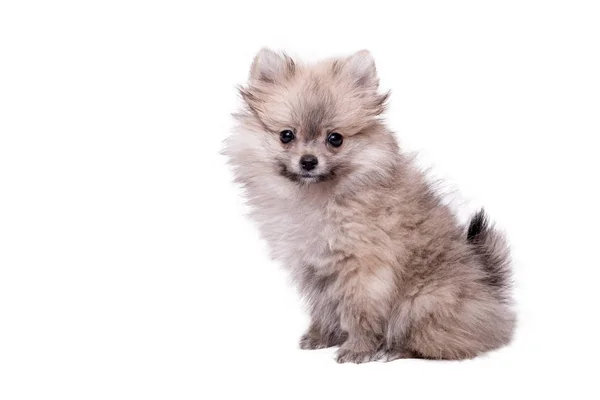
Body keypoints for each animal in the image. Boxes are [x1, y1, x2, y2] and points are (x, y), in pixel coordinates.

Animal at [225, 49, 516, 362]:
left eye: (335, 139)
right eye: (286, 135)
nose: (308, 161)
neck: (318, 196)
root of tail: (490, 292)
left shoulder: (364, 269)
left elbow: (358, 311)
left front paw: (358, 347)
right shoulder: (315, 269)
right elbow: (323, 307)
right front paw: (321, 336)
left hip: (422, 302)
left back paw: (396, 349)